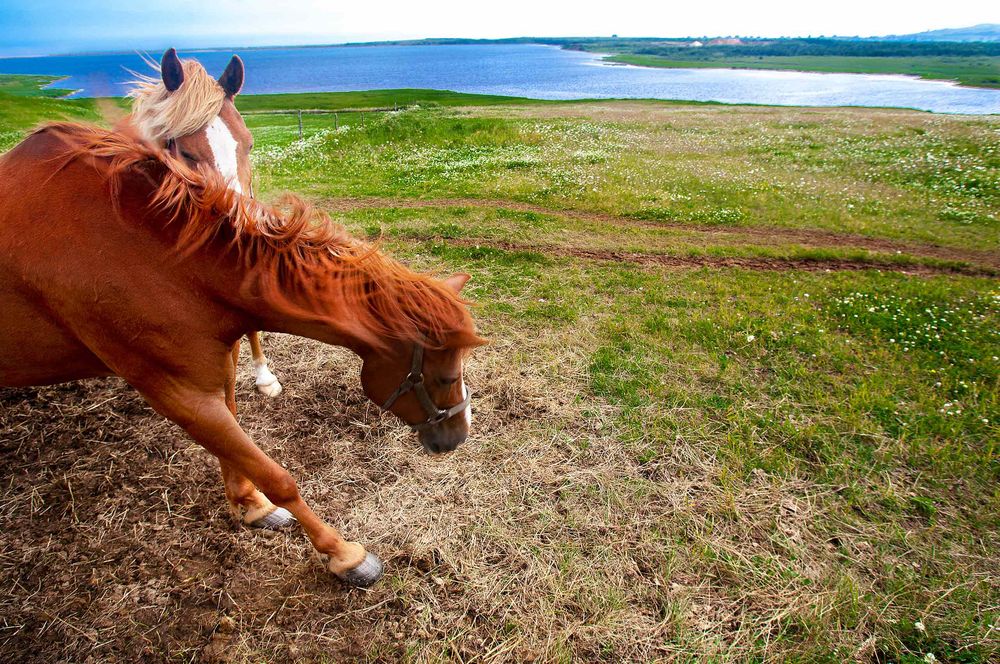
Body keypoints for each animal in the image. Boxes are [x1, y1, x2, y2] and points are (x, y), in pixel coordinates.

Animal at [0, 120, 485, 587]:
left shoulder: (215, 370)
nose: (460, 435)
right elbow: (277, 476)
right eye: (444, 378)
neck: (158, 259)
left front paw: (250, 505)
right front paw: (344, 554)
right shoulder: (176, 392)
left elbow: (234, 447)